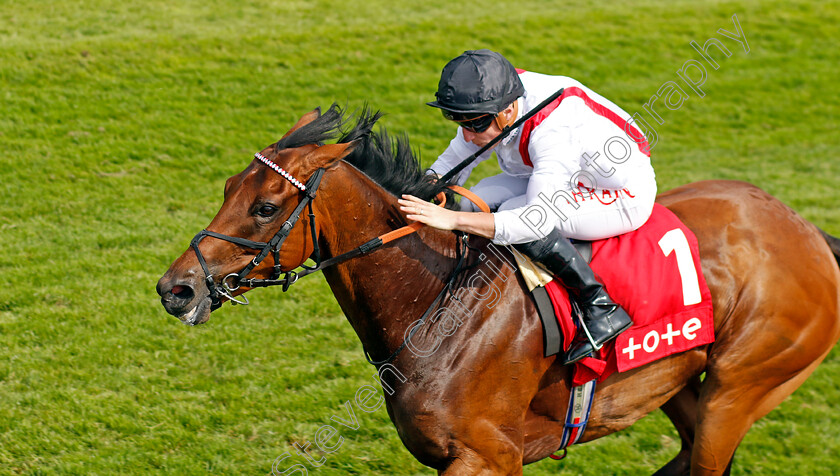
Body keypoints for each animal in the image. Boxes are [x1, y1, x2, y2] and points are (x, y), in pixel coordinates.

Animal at [158, 106, 840, 474]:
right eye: (227, 187)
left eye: (266, 207)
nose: (176, 289)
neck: (436, 304)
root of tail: (805, 229)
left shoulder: (488, 456)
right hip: (675, 380)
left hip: (742, 385)